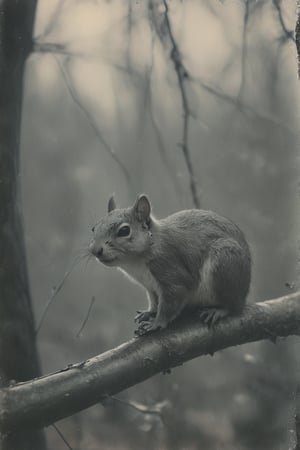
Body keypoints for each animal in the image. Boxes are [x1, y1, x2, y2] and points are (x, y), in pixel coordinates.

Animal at [88, 195, 251, 336]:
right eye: (94, 228)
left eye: (124, 230)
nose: (95, 250)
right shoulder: (150, 287)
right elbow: (154, 301)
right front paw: (149, 312)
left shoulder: (169, 270)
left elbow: (171, 301)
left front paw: (156, 323)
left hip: (225, 264)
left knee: (233, 306)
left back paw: (220, 310)